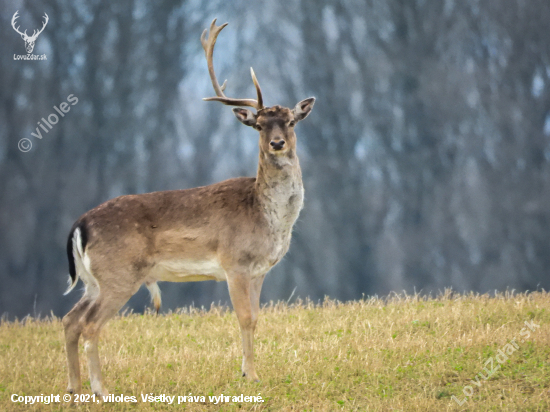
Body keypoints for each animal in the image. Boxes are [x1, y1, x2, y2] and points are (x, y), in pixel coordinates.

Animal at [61, 19, 314, 396]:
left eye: (291, 121)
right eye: (258, 125)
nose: (277, 143)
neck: (267, 219)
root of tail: (80, 225)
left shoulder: (259, 271)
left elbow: (256, 319)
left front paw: (248, 372)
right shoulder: (234, 263)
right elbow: (244, 318)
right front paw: (251, 376)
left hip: (93, 280)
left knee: (70, 319)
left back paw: (73, 388)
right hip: (119, 274)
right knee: (90, 325)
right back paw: (100, 389)